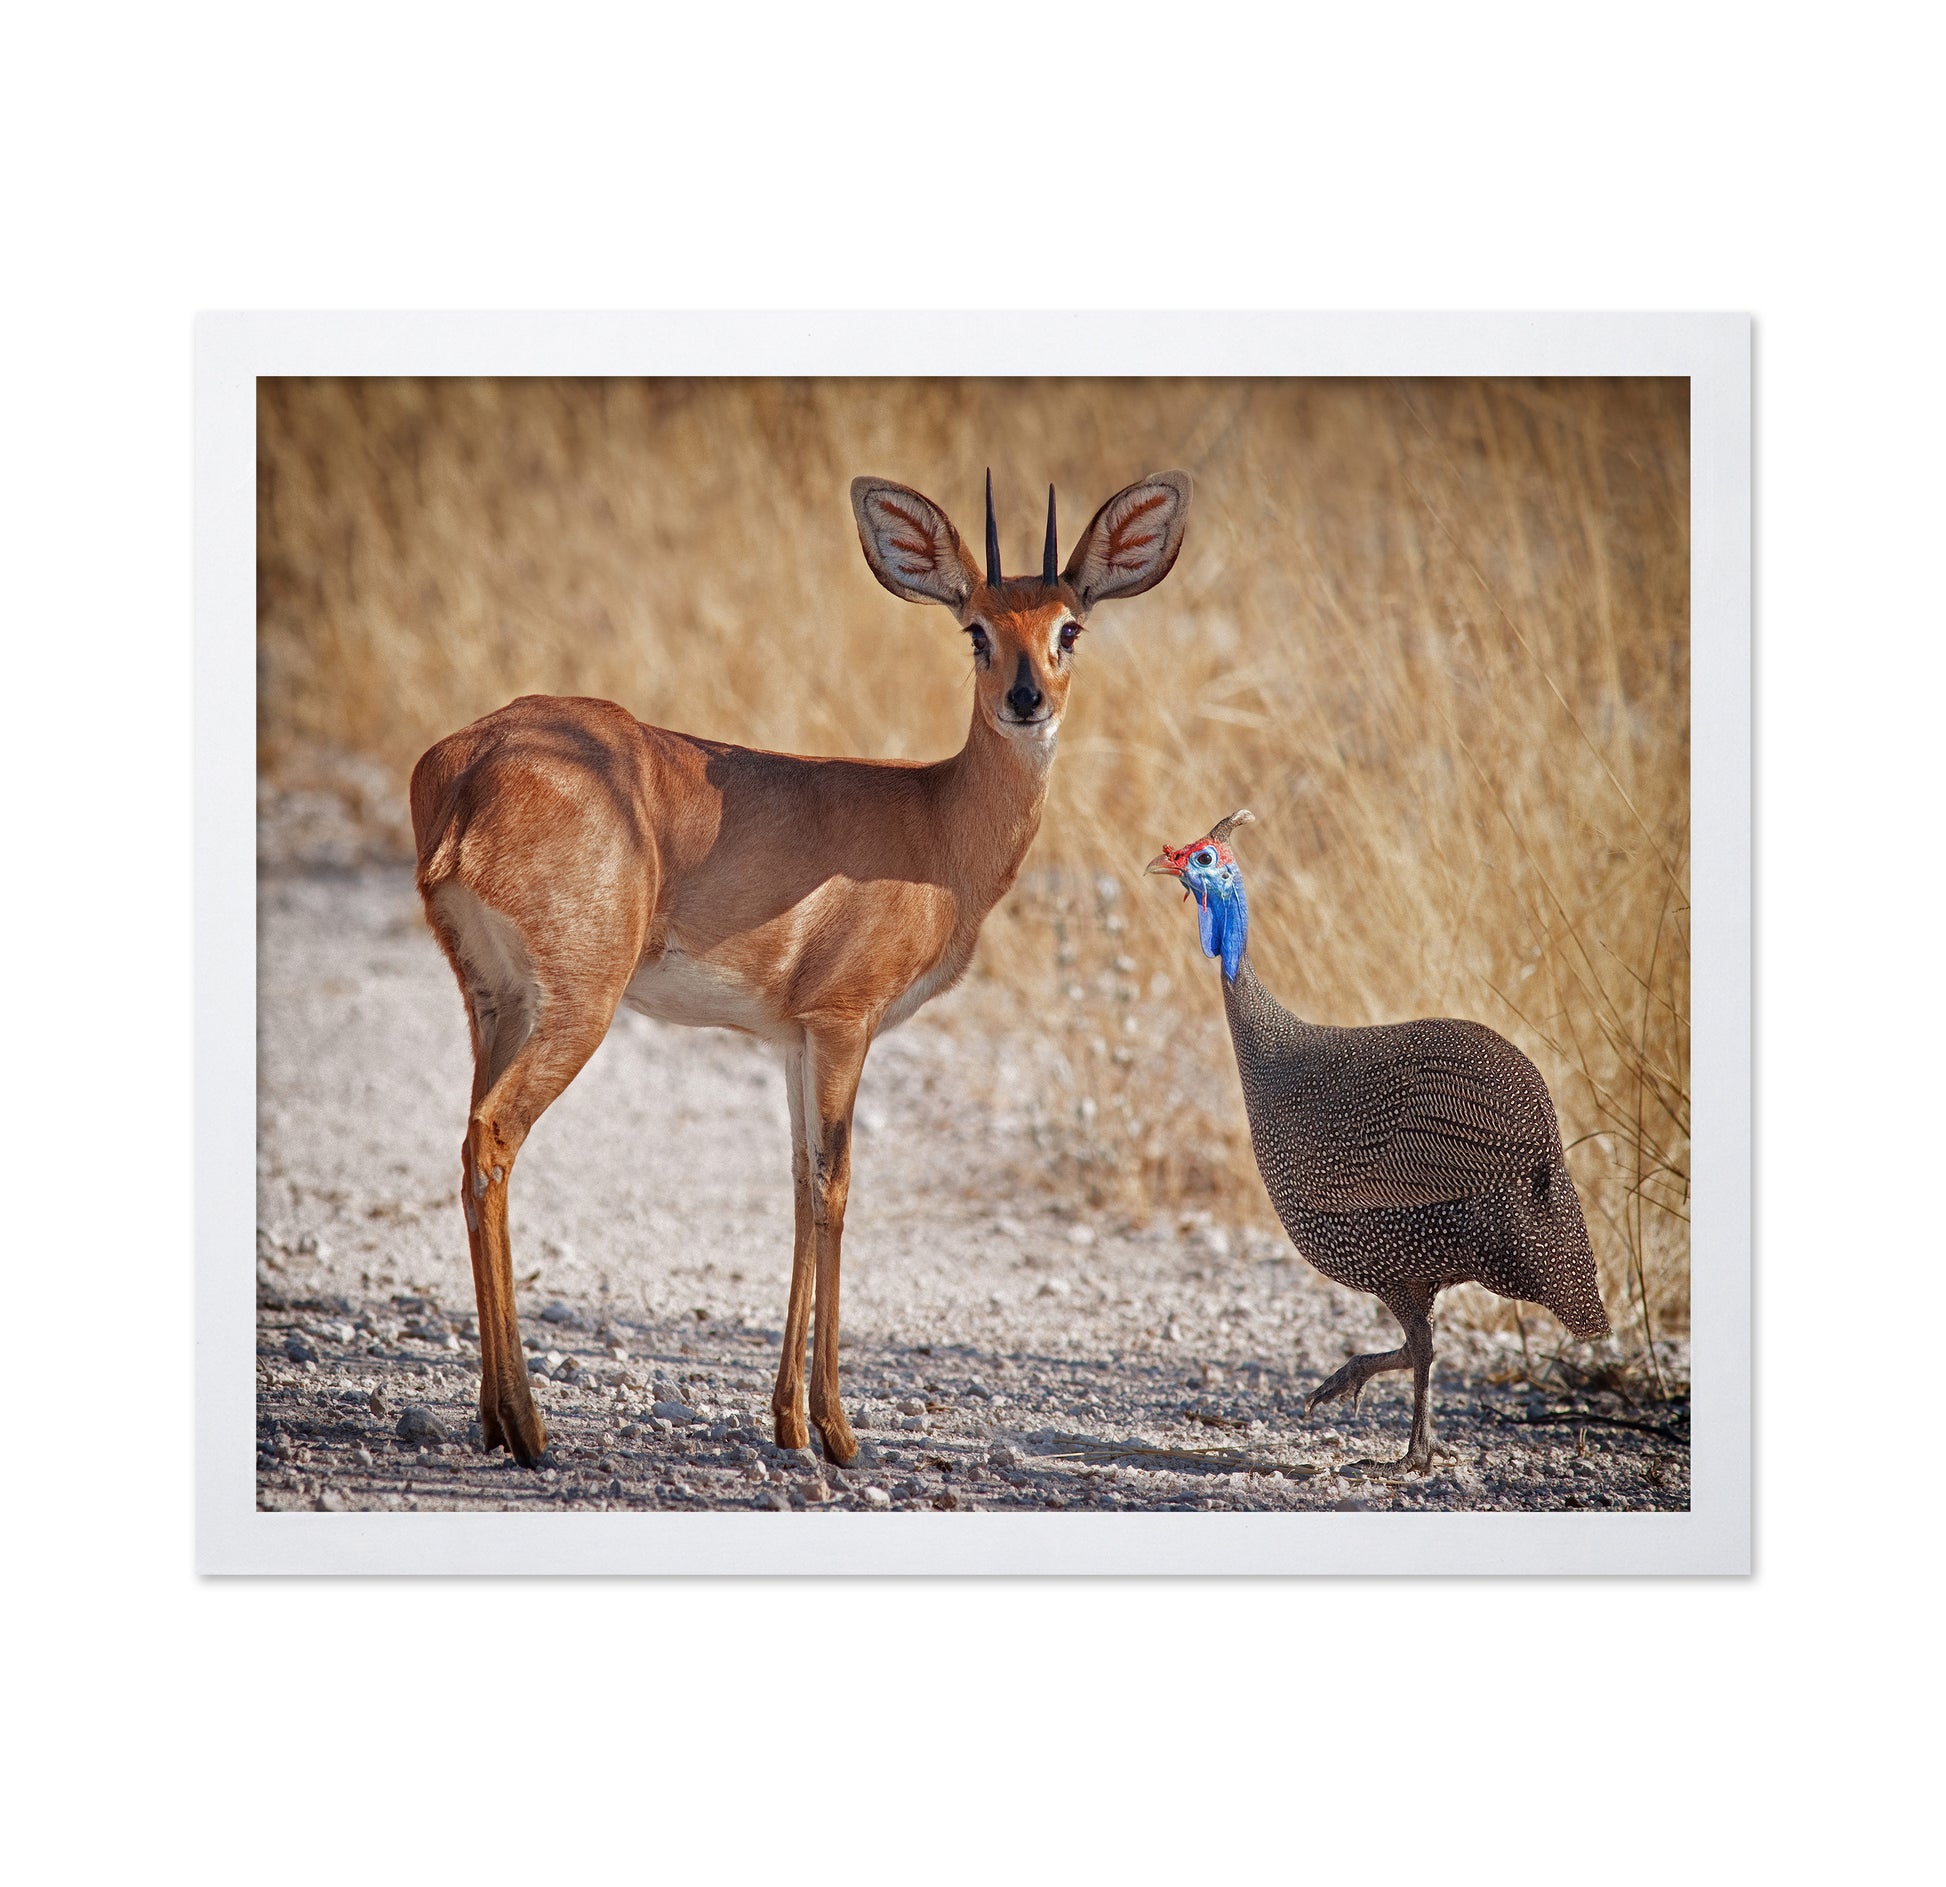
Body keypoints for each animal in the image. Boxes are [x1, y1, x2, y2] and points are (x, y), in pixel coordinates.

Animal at [409, 469, 1192, 1467]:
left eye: (1070, 627)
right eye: (977, 627)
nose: (1026, 699)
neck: (937, 826)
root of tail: (467, 766)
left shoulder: (790, 1037)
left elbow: (793, 1184)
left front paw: (786, 1420)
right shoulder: (846, 1024)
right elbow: (836, 1186)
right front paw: (838, 1428)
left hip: (495, 1000)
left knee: (470, 1141)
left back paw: (490, 1416)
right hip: (578, 1006)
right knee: (492, 1139)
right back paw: (527, 1424)